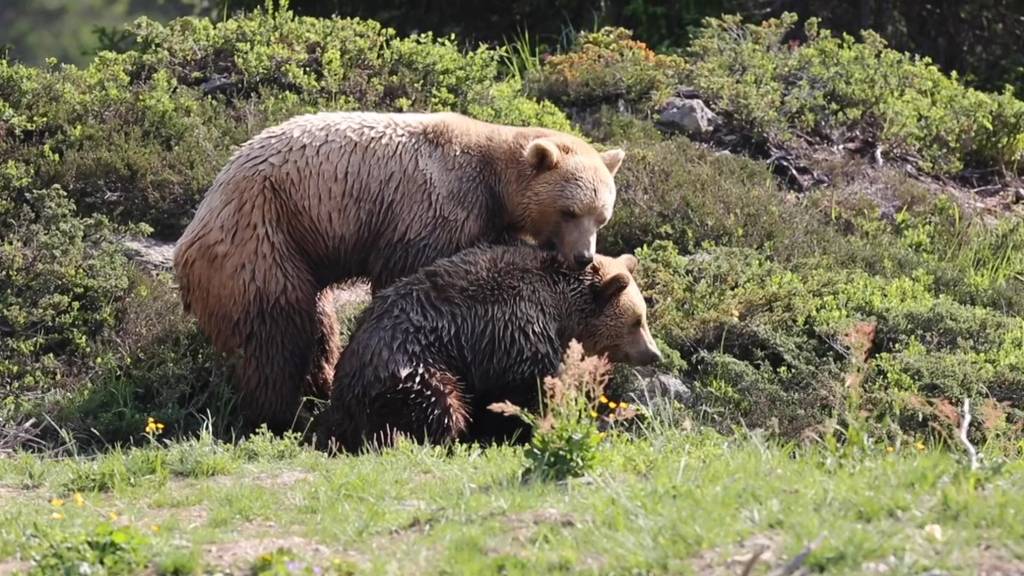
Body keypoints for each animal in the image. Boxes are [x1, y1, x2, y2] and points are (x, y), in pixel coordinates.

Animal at [173, 109, 622, 428]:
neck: (493, 182)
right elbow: (412, 270)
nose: (582, 257)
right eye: (569, 211)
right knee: (273, 334)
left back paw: (318, 386)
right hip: (262, 240)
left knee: (317, 325)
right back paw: (283, 413)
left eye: (601, 217)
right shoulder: (433, 208)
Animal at [315, 239, 659, 450]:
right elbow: (527, 391)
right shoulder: (515, 332)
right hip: (409, 365)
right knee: (438, 403)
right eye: (637, 320)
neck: (561, 311)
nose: (653, 354)